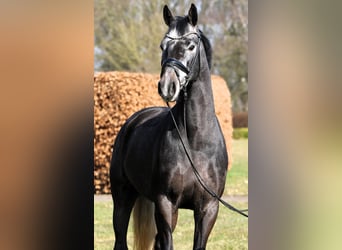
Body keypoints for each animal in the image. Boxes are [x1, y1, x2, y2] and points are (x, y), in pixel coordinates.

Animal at [109, 4, 227, 250]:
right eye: (163, 45)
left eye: (191, 45)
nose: (167, 86)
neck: (195, 142)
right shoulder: (165, 203)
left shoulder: (208, 208)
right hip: (123, 197)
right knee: (120, 239)